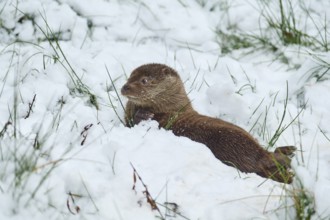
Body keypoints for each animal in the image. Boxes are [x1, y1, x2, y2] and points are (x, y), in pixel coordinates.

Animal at [122, 63, 296, 182]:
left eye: (144, 80)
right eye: (129, 76)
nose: (124, 87)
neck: (171, 108)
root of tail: (260, 154)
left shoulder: (165, 118)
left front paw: (144, 114)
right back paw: (288, 153)